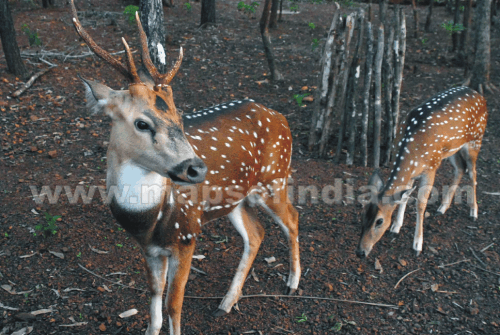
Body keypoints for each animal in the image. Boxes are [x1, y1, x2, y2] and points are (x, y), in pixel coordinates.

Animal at [70, 1, 300, 334]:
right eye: (142, 123)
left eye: (179, 117)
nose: (196, 169)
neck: (148, 218)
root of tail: (281, 117)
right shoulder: (149, 248)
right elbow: (153, 296)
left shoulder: (188, 235)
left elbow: (173, 304)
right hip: (236, 199)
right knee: (256, 233)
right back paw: (225, 303)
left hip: (274, 177)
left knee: (292, 218)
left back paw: (292, 284)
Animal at [356, 86, 488, 258]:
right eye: (362, 214)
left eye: (379, 221)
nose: (360, 252)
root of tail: (479, 95)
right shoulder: (412, 173)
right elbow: (404, 198)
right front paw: (395, 228)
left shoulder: (431, 168)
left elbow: (420, 204)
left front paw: (417, 245)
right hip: (451, 149)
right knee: (460, 169)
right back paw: (442, 208)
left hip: (476, 140)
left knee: (473, 173)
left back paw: (473, 212)